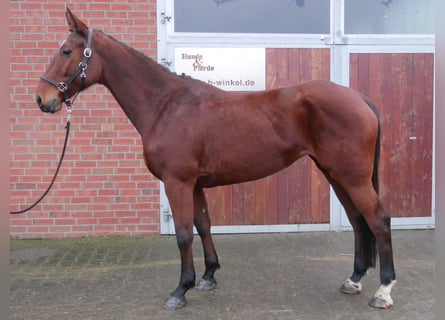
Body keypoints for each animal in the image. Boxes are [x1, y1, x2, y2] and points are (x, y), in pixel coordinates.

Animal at [34, 8, 396, 310]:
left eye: (66, 51)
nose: (42, 98)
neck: (167, 106)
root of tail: (360, 99)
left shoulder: (177, 182)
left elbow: (183, 234)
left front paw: (180, 290)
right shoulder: (194, 185)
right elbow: (204, 225)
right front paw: (208, 277)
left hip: (352, 176)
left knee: (378, 220)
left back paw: (383, 291)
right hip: (335, 173)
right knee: (357, 220)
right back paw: (354, 280)